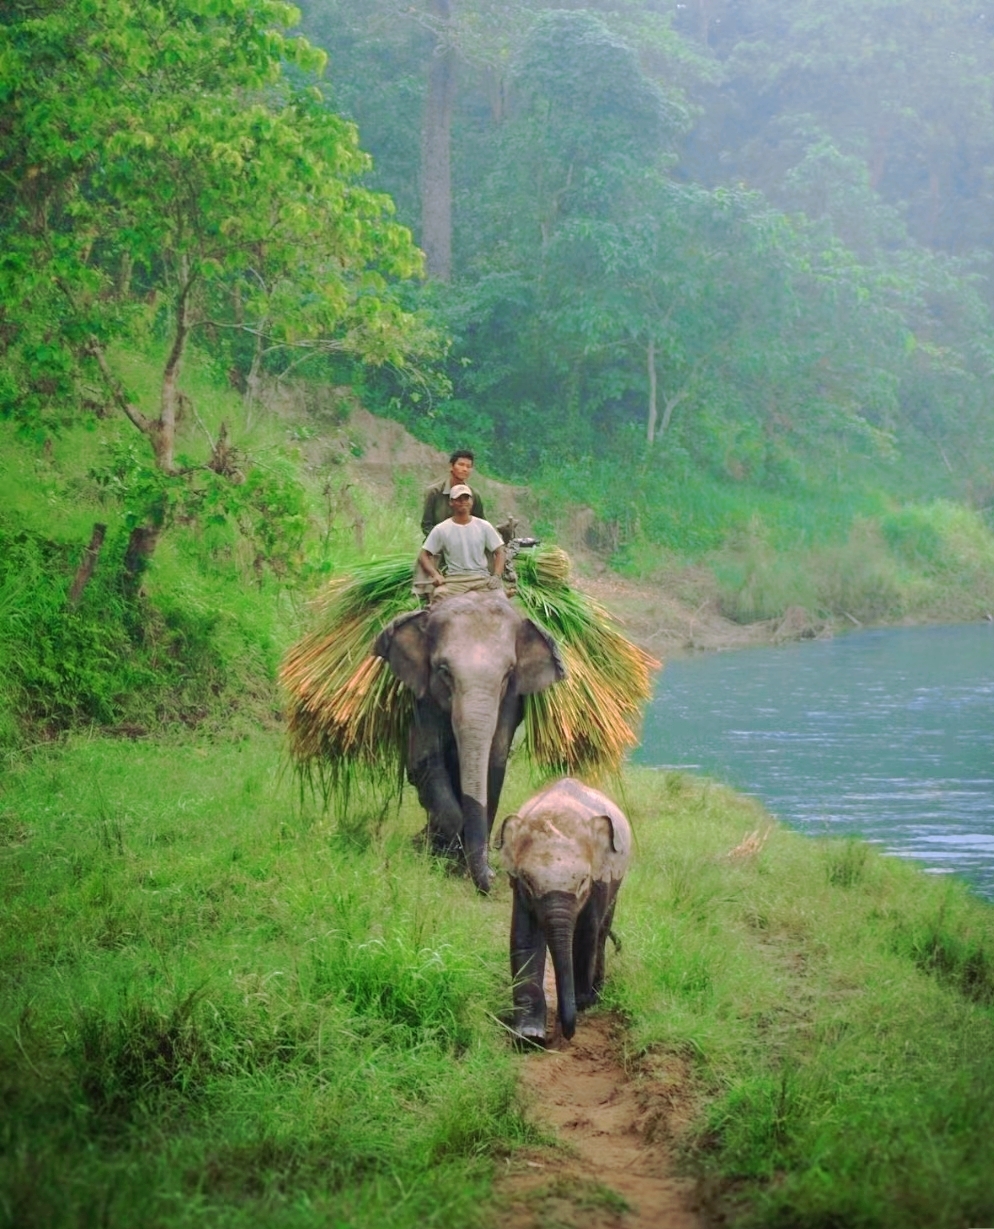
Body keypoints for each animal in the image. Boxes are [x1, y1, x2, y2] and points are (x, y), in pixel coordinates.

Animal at [373, 587, 562, 894]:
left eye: (508, 674)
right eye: (443, 671)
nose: (493, 880)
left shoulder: (511, 701)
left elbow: (494, 764)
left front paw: (460, 865)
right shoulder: (423, 694)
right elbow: (426, 760)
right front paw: (440, 854)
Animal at [493, 771, 629, 1042]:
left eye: (583, 881)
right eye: (528, 881)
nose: (564, 1034)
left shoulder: (599, 882)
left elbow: (585, 936)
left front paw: (583, 1003)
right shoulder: (519, 891)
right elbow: (524, 938)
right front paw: (530, 1037)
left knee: (600, 932)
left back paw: (595, 995)